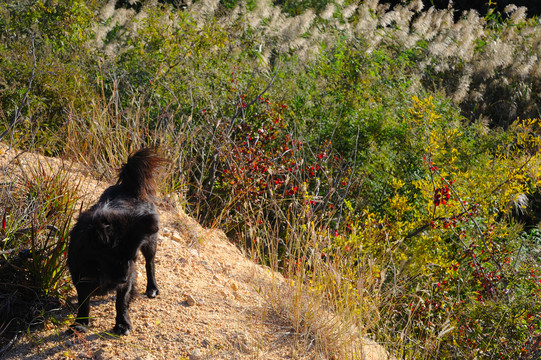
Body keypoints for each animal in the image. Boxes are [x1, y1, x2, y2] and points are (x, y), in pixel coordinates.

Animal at [67, 147, 161, 334]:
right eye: (113, 258)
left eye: (132, 259)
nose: (124, 278)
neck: (99, 268)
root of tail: (128, 187)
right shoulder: (81, 276)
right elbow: (83, 301)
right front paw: (81, 323)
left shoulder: (128, 277)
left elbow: (121, 302)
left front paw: (122, 324)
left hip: (150, 244)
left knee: (150, 264)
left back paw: (152, 288)